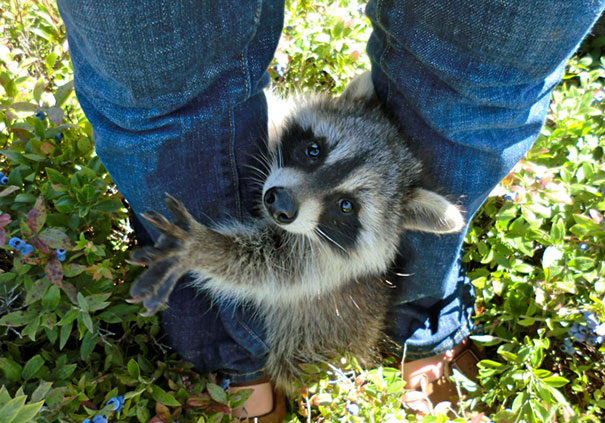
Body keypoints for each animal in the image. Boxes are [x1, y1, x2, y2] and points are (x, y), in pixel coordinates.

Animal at [130, 72, 464, 394]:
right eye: (313, 150)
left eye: (345, 206)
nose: (279, 204)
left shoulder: (322, 268)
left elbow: (265, 268)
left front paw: (205, 248)